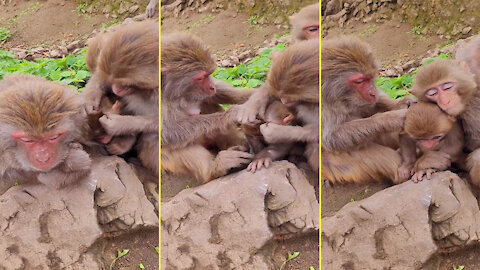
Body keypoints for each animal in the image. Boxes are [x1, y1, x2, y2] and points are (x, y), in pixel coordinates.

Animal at [81, 20, 158, 173]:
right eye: (114, 81)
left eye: (124, 83)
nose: (115, 88)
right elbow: (101, 76)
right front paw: (88, 99)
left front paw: (119, 125)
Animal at [161, 31, 256, 184]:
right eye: (200, 78)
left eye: (209, 75)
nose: (211, 87)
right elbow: (166, 132)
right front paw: (233, 114)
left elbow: (213, 96)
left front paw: (254, 94)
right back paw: (214, 168)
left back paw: (241, 143)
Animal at [318, 37, 412, 185]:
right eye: (360, 81)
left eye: (370, 78)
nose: (373, 92)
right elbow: (331, 138)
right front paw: (390, 119)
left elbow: (371, 105)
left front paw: (402, 103)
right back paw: (403, 171)